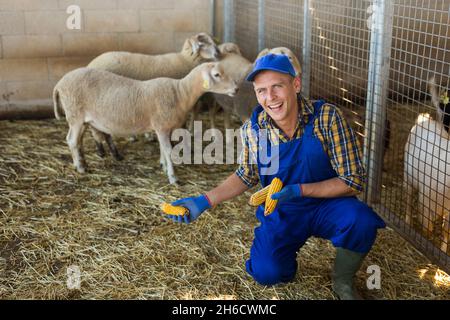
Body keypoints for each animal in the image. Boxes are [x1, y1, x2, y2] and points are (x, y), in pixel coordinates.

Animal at [53, 61, 239, 184]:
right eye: (217, 75)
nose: (236, 89)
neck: (180, 93)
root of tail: (59, 84)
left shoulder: (164, 127)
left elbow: (163, 149)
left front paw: (164, 166)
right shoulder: (162, 126)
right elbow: (168, 150)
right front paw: (173, 177)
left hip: (81, 119)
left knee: (78, 141)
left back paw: (82, 162)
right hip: (75, 115)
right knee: (72, 140)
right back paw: (80, 167)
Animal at [404, 79, 450, 254]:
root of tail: (424, 119)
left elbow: (446, 231)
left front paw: (443, 250)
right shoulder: (427, 198)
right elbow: (427, 226)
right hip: (408, 178)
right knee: (409, 200)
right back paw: (408, 222)